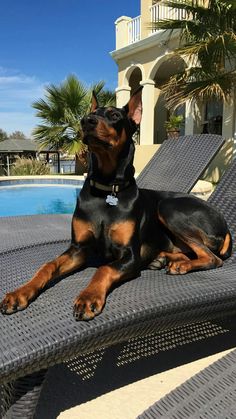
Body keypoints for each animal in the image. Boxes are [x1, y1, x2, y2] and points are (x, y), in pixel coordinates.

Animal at [0, 89, 232, 322]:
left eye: (114, 115)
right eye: (91, 113)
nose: (86, 121)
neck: (107, 189)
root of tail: (224, 223)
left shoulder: (129, 254)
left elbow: (103, 268)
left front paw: (88, 297)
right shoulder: (78, 249)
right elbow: (48, 265)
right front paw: (20, 293)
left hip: (168, 208)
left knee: (212, 258)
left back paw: (180, 264)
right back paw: (163, 259)